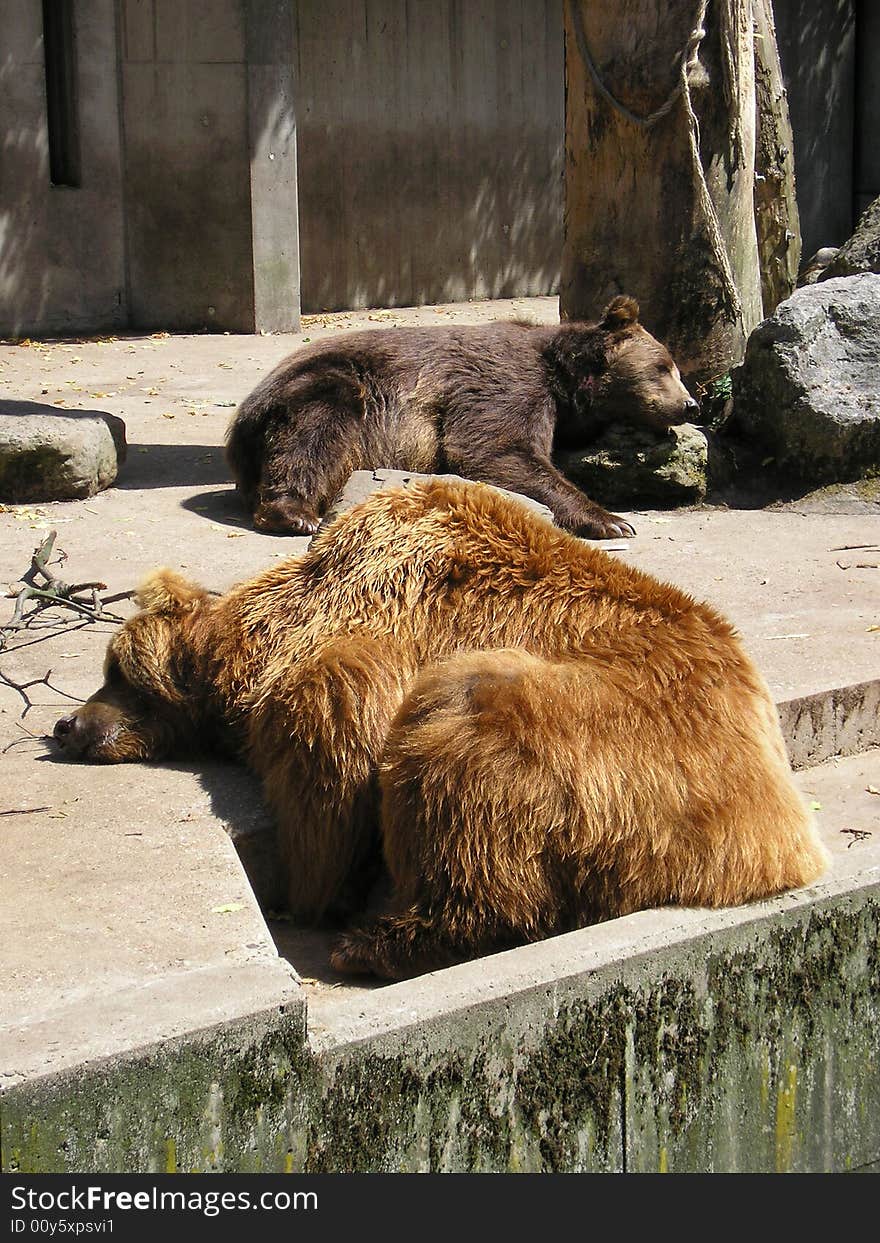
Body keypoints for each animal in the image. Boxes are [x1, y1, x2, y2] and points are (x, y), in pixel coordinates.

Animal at [53, 474, 825, 979]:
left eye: (114, 670)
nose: (66, 724)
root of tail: (780, 847)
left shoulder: (367, 621)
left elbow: (332, 746)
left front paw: (313, 888)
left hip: (606, 738)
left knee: (460, 757)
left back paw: (379, 941)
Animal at [228, 298, 701, 541]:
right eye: (663, 367)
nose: (691, 405)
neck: (562, 380)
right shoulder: (506, 384)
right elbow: (494, 449)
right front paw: (611, 520)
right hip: (327, 387)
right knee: (314, 431)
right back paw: (294, 513)